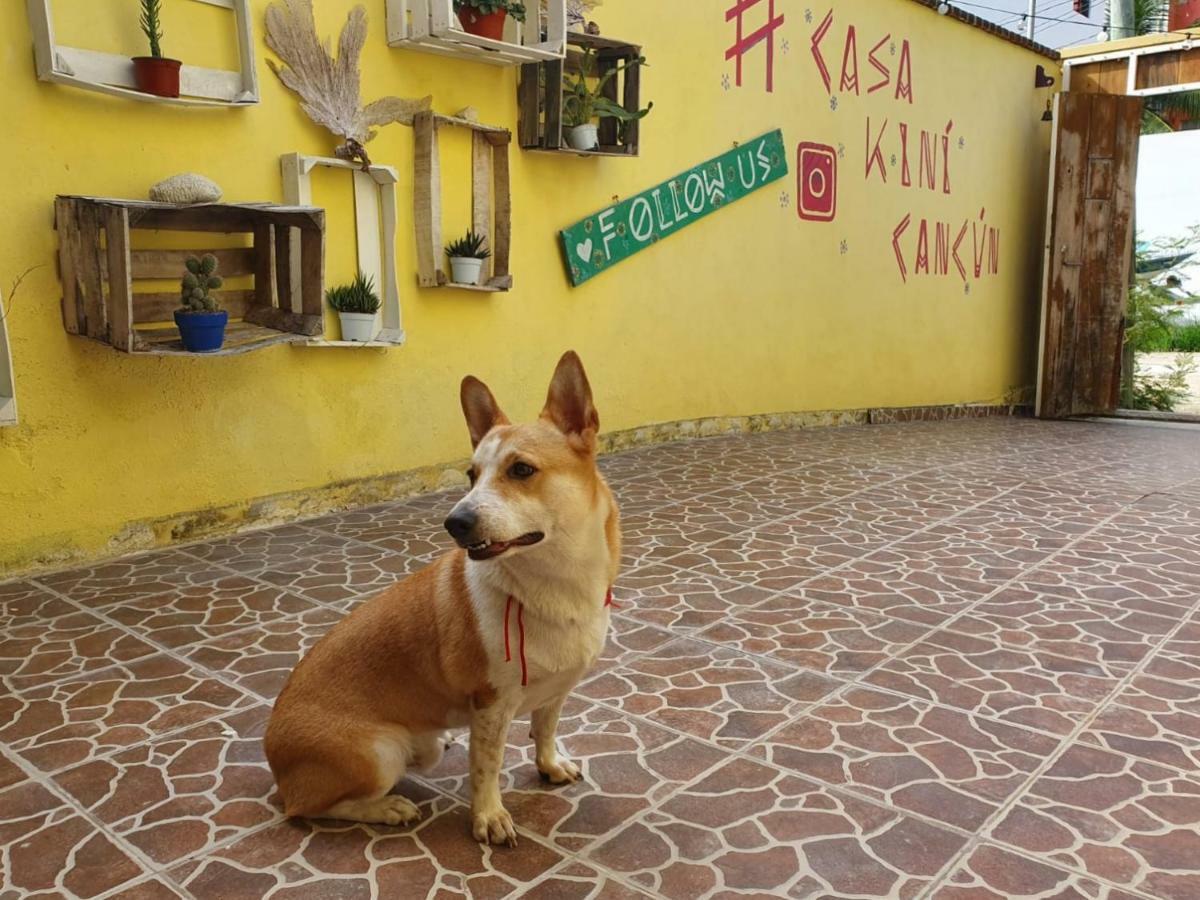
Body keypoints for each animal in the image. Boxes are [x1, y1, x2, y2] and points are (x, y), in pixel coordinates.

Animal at [262, 350, 619, 844]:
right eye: (471, 475)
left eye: (521, 470)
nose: (455, 522)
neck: (553, 585)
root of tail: (273, 759)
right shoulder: (490, 706)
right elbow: (486, 767)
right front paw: (488, 816)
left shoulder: (557, 689)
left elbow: (545, 730)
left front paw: (548, 765)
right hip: (380, 751)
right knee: (306, 807)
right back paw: (387, 807)